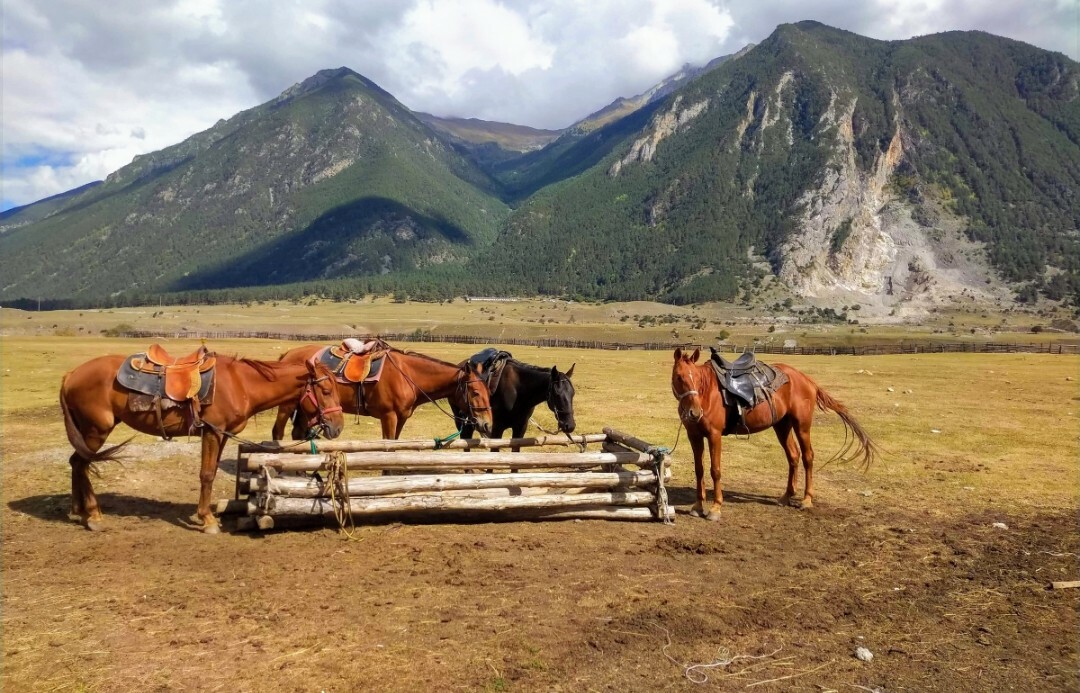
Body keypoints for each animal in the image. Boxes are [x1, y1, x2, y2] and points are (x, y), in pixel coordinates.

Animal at [60, 347, 345, 531]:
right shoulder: (212, 432)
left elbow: (212, 472)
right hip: (96, 430)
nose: (337, 427)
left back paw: (77, 511)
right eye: (326, 390)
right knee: (82, 463)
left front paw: (204, 514)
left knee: (76, 463)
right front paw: (207, 520)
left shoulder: (222, 435)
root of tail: (71, 374)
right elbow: (206, 474)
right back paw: (93, 515)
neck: (241, 384)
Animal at [270, 343, 494, 440]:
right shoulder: (389, 417)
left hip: (306, 408)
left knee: (298, 434)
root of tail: (287, 354)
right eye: (475, 392)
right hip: (287, 406)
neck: (407, 375)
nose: (487, 424)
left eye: (488, 391)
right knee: (278, 433)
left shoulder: (401, 418)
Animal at [673, 345, 876, 518]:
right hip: (782, 425)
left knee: (807, 457)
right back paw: (786, 496)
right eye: (679, 377)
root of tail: (806, 379)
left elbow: (715, 470)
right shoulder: (694, 436)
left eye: (697, 378)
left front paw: (715, 508)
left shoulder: (714, 435)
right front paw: (698, 506)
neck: (707, 394)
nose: (694, 412)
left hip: (802, 425)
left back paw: (806, 499)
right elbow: (699, 469)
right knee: (793, 456)